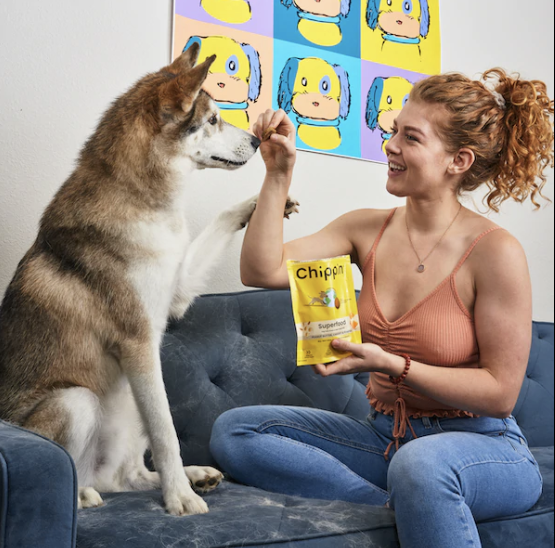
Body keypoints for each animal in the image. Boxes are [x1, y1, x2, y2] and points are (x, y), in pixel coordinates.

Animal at [0, 45, 296, 516]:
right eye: (213, 119)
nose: (255, 140)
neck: (144, 200)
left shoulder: (177, 292)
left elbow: (219, 220)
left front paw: (257, 204)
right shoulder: (138, 342)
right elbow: (168, 435)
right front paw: (180, 499)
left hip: (131, 399)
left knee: (130, 476)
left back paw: (194, 475)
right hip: (79, 399)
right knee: (81, 474)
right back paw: (87, 495)